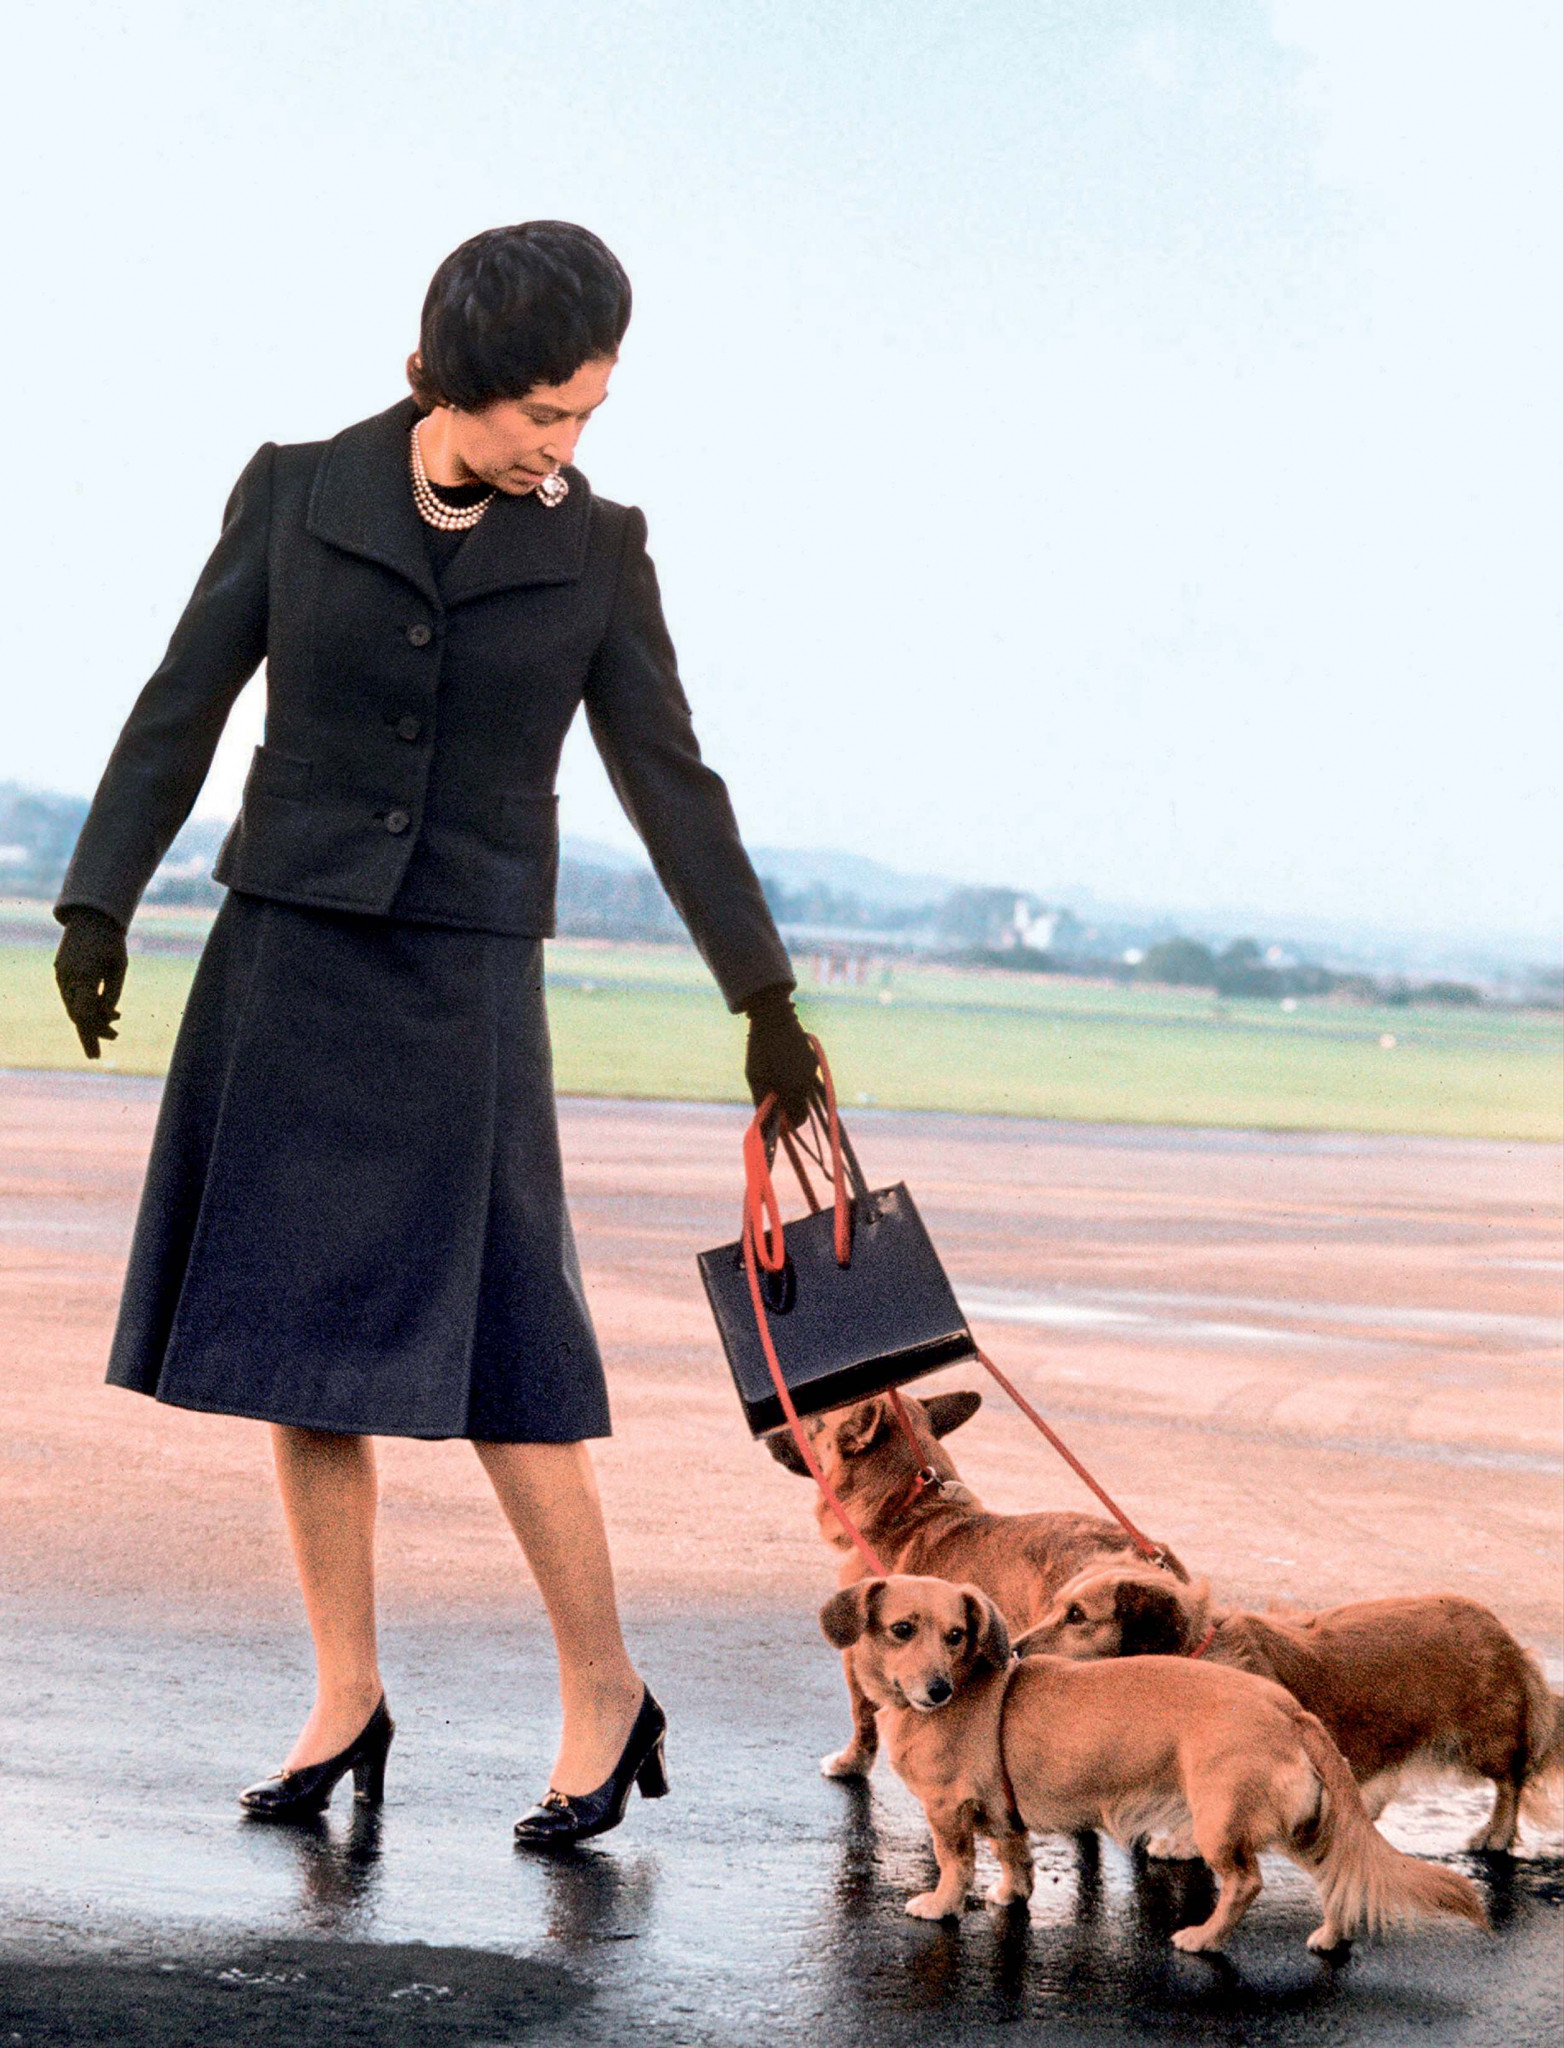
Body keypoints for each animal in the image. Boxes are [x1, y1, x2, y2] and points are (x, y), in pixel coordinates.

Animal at [766, 1388, 1186, 1779]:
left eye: (811, 1419)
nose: (768, 1430)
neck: (907, 1508)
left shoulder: (859, 1658)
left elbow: (863, 1716)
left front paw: (851, 1763)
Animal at [820, 1574, 1488, 1953]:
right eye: (902, 1629)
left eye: (956, 1635)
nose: (937, 1691)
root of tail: (1287, 1708)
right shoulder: (1005, 1816)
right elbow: (1016, 1860)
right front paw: (1010, 1895)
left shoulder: (947, 1811)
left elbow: (954, 1864)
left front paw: (940, 1905)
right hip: (1306, 1827)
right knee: (1338, 1879)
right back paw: (1329, 1938)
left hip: (1221, 1823)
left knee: (1245, 1884)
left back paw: (1204, 1939)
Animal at [1017, 1563, 1564, 1854]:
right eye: (1058, 1605)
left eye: (1076, 1616)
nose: (1017, 1649)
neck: (1192, 1655)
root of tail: (1499, 1630)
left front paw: (1184, 1842)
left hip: (1484, 1740)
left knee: (1511, 1782)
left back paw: (1495, 1834)